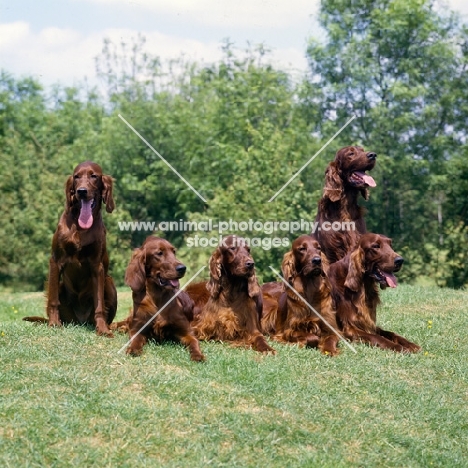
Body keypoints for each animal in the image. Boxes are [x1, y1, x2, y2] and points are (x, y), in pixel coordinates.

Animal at [24, 162, 118, 336]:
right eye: (76, 177)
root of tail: (80, 321)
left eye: (94, 176)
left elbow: (100, 304)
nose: (81, 191)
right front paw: (54, 324)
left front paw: (102, 329)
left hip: (109, 282)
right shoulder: (55, 261)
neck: (81, 227)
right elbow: (53, 300)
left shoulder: (97, 266)